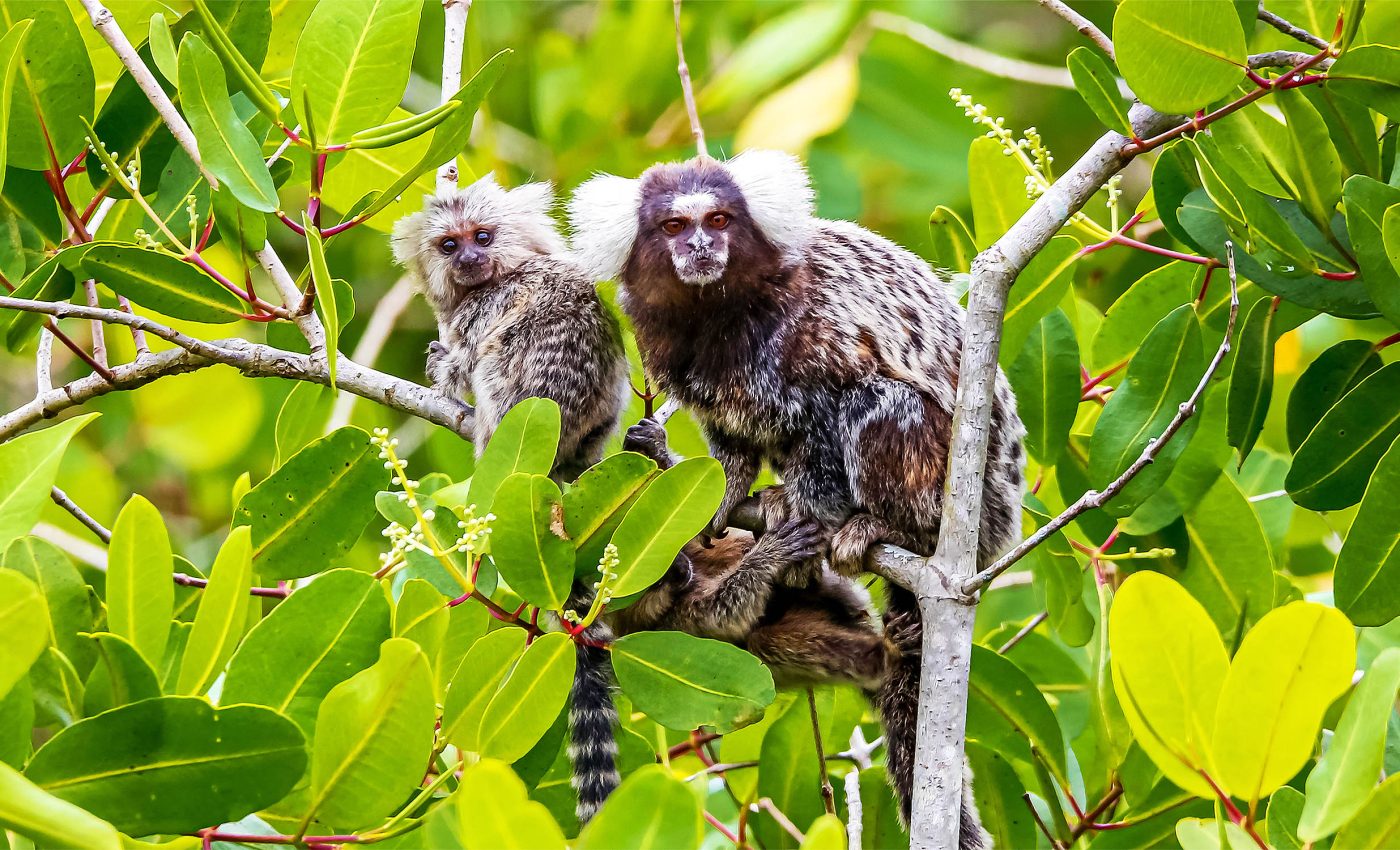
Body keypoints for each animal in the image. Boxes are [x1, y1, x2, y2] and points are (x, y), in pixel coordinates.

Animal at [390, 173, 629, 480]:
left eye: (482, 237)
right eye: (449, 245)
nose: (468, 259)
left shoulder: (485, 306)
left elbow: (459, 368)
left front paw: (438, 366)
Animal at [567, 150, 1023, 844]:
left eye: (719, 219)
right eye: (673, 226)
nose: (700, 246)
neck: (717, 313)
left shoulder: (813, 331)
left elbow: (828, 417)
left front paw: (806, 517)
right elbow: (729, 444)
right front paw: (726, 496)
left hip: (957, 487)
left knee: (880, 400)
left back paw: (883, 528)